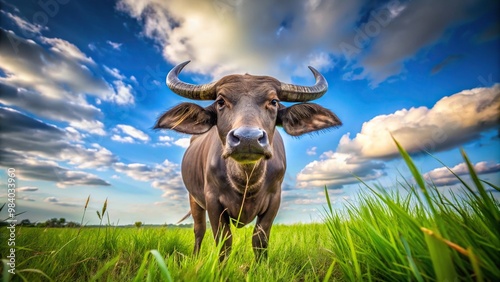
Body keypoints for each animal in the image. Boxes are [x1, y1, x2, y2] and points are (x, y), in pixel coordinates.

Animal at [156, 61, 342, 260]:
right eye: (221, 101)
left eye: (273, 101)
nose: (248, 138)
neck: (246, 181)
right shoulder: (212, 200)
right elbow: (224, 242)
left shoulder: (274, 199)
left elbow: (259, 240)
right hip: (194, 199)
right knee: (199, 230)